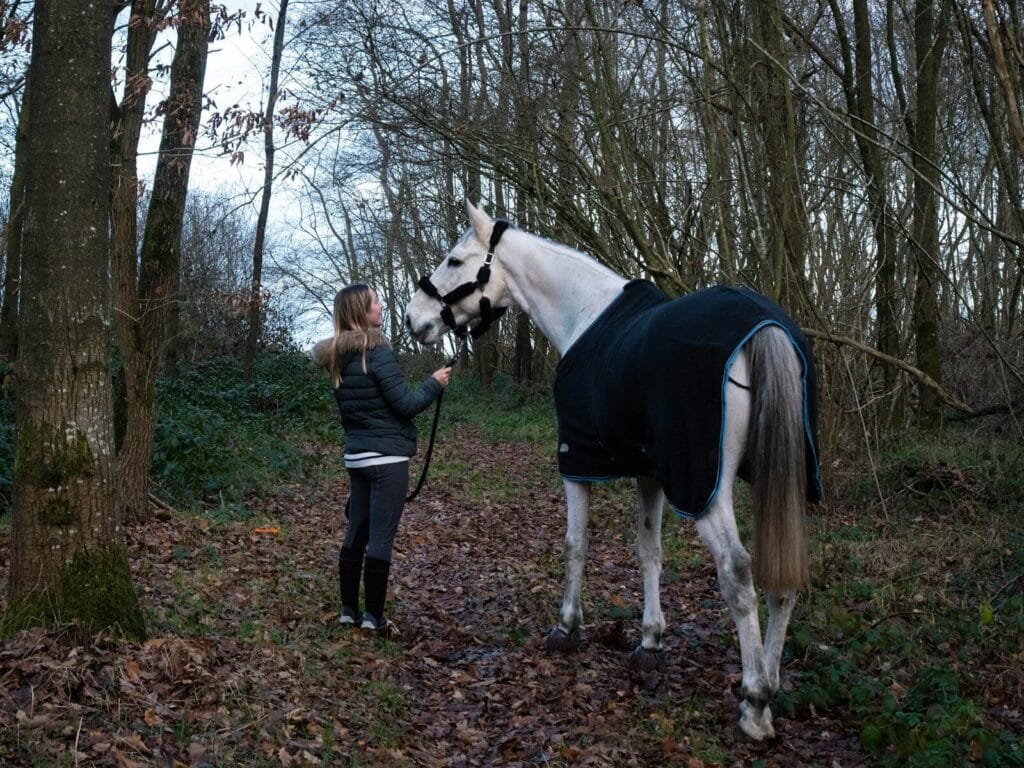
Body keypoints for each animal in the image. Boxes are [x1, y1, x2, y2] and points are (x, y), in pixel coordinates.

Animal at [405, 201, 822, 741]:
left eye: (455, 260)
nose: (413, 318)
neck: (583, 313)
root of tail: (766, 326)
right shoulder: (650, 472)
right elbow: (649, 552)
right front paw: (649, 642)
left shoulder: (577, 463)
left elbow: (575, 545)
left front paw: (566, 627)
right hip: (779, 479)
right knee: (782, 577)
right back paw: (770, 683)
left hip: (705, 488)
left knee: (737, 571)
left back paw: (753, 703)